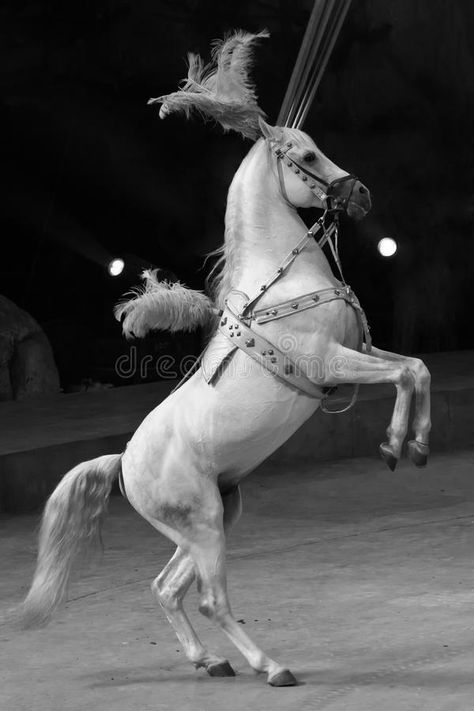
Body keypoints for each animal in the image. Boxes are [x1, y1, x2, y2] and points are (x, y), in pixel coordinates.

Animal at [18, 30, 432, 688]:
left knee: (167, 588)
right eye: (307, 155)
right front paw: (398, 446)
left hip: (214, 517)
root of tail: (124, 464)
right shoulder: (332, 362)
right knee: (211, 599)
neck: (282, 280)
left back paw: (210, 661)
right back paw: (271, 666)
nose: (362, 194)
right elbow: (406, 372)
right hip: (205, 522)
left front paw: (413, 445)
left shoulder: (359, 350)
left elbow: (416, 368)